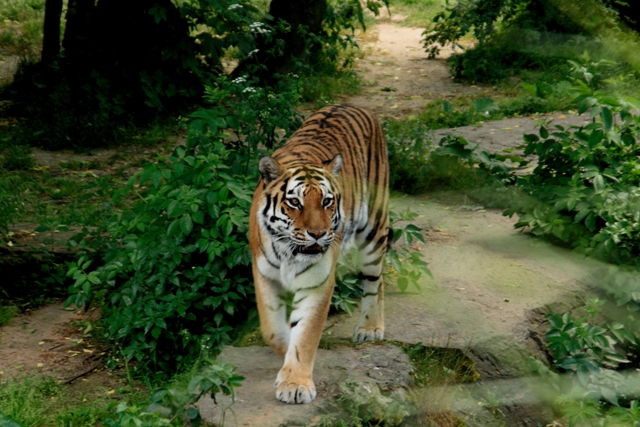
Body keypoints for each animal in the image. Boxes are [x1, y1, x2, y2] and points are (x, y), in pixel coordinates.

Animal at [249, 103, 390, 404]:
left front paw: (295, 383)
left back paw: (370, 328)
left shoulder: (317, 281)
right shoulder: (264, 274)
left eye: (326, 201)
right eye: (294, 202)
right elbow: (273, 329)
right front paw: (286, 362)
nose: (318, 233)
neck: (288, 252)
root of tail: (352, 104)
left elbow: (306, 334)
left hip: (374, 227)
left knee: (375, 279)